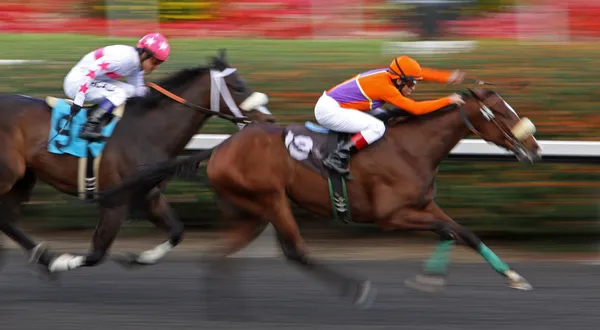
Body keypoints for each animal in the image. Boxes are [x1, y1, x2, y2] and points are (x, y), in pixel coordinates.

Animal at [0, 49, 276, 276]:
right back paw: (48, 259)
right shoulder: (115, 201)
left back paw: (42, 255)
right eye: (238, 86)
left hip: (23, 178)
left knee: (7, 220)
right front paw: (62, 261)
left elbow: (177, 231)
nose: (269, 120)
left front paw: (140, 257)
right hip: (9, 175)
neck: (146, 131)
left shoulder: (148, 196)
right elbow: (96, 254)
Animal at [96, 87, 540, 304]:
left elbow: (464, 233)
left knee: (217, 257)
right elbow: (449, 232)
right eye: (499, 112)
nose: (534, 148)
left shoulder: (424, 205)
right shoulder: (391, 216)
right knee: (296, 251)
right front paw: (428, 280)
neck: (412, 146)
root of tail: (220, 148)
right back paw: (355, 290)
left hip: (248, 212)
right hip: (271, 200)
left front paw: (514, 277)